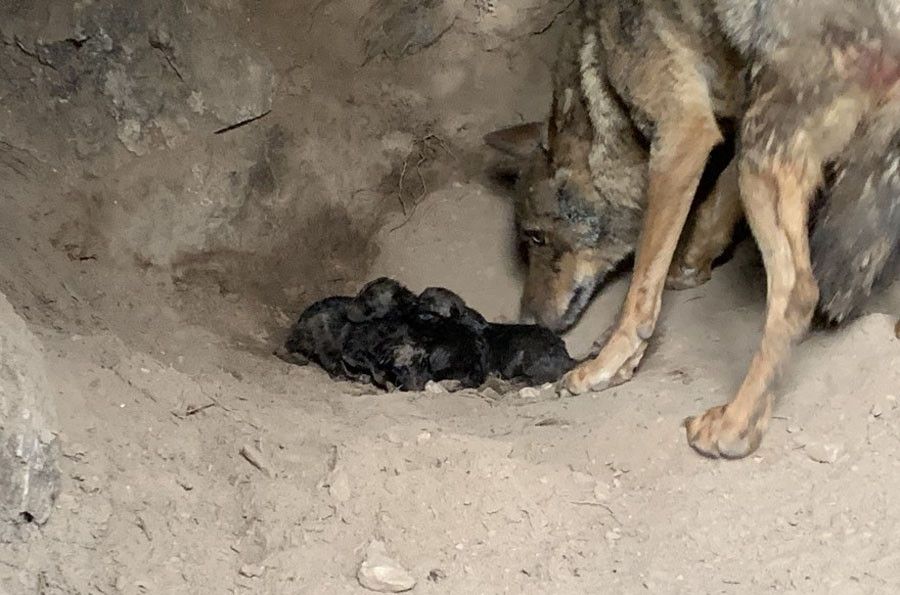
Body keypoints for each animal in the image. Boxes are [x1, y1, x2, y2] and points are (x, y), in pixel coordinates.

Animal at [486, 0, 900, 460]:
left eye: (536, 237)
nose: (526, 320)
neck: (600, 77)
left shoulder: (682, 135)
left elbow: (641, 289)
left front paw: (607, 364)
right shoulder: (733, 122)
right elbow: (713, 205)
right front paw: (690, 263)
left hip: (764, 156)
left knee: (798, 293)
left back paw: (735, 426)